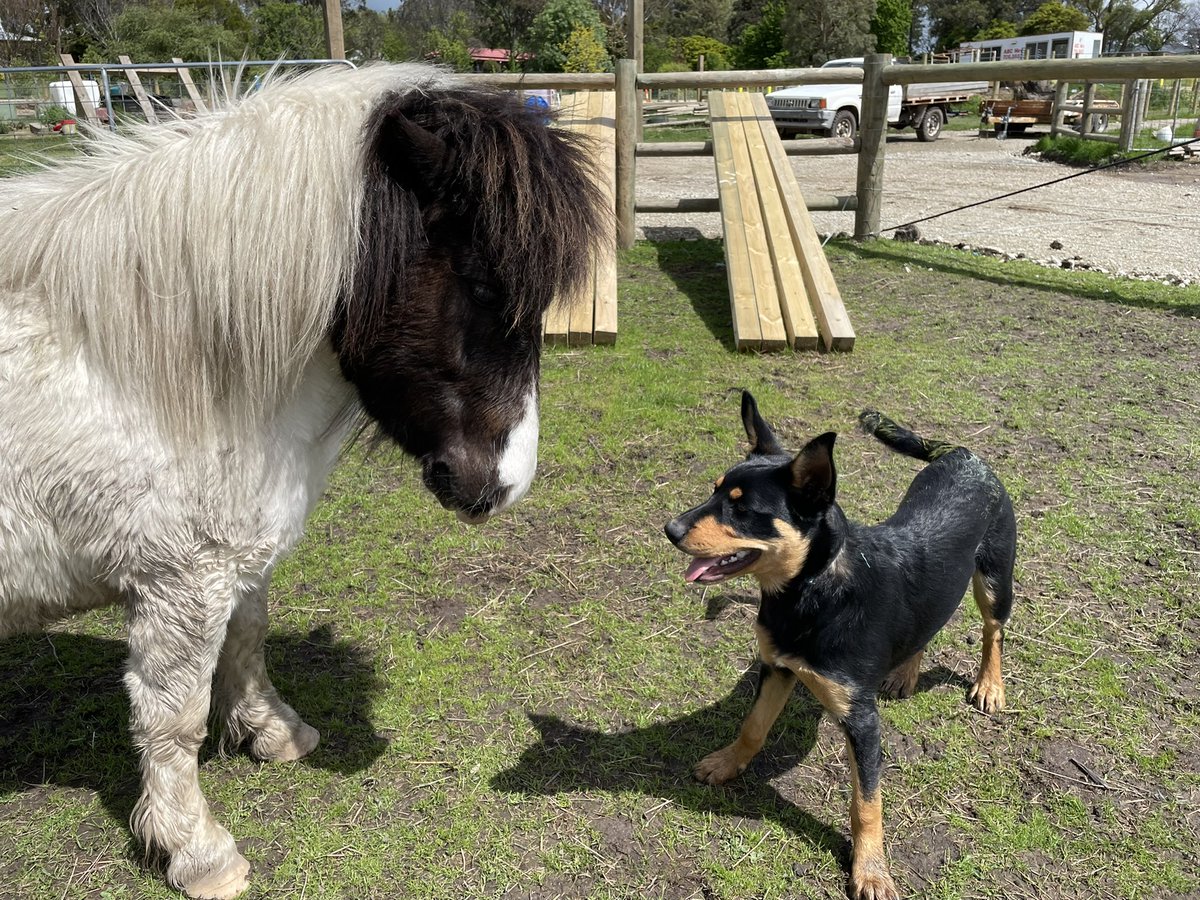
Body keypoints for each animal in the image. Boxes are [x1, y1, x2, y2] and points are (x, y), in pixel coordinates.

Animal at [0, 63, 605, 898]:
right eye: (484, 287)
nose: (507, 484)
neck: (146, 370)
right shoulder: (177, 584)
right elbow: (173, 717)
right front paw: (196, 849)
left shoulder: (237, 562)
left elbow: (248, 641)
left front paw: (272, 731)